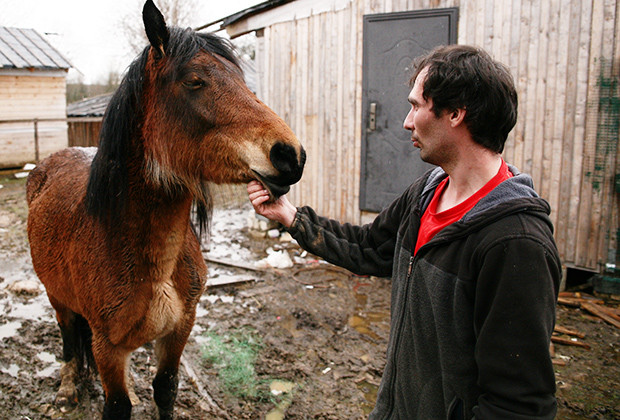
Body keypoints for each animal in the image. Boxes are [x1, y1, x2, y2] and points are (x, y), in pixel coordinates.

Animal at [26, 1, 306, 418]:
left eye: (241, 80)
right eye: (194, 81)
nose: (290, 155)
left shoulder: (179, 331)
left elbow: (166, 389)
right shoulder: (108, 348)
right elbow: (117, 404)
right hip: (56, 296)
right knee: (67, 336)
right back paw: (67, 388)